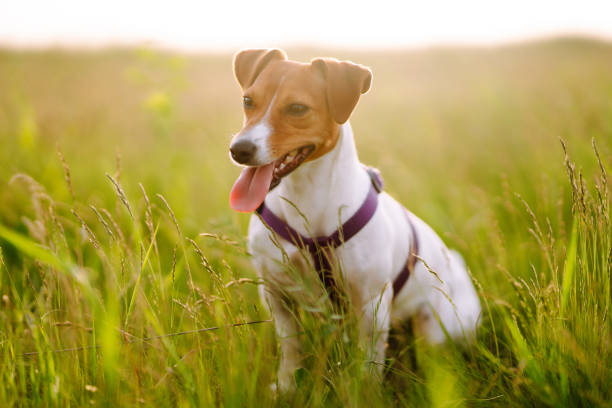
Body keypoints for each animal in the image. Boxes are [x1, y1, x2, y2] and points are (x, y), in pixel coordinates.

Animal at [227, 48, 480, 392]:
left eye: (297, 108)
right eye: (247, 100)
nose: (238, 149)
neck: (307, 198)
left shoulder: (372, 304)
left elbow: (369, 363)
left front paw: (365, 393)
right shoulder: (277, 293)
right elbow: (291, 347)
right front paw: (286, 386)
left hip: (436, 325)